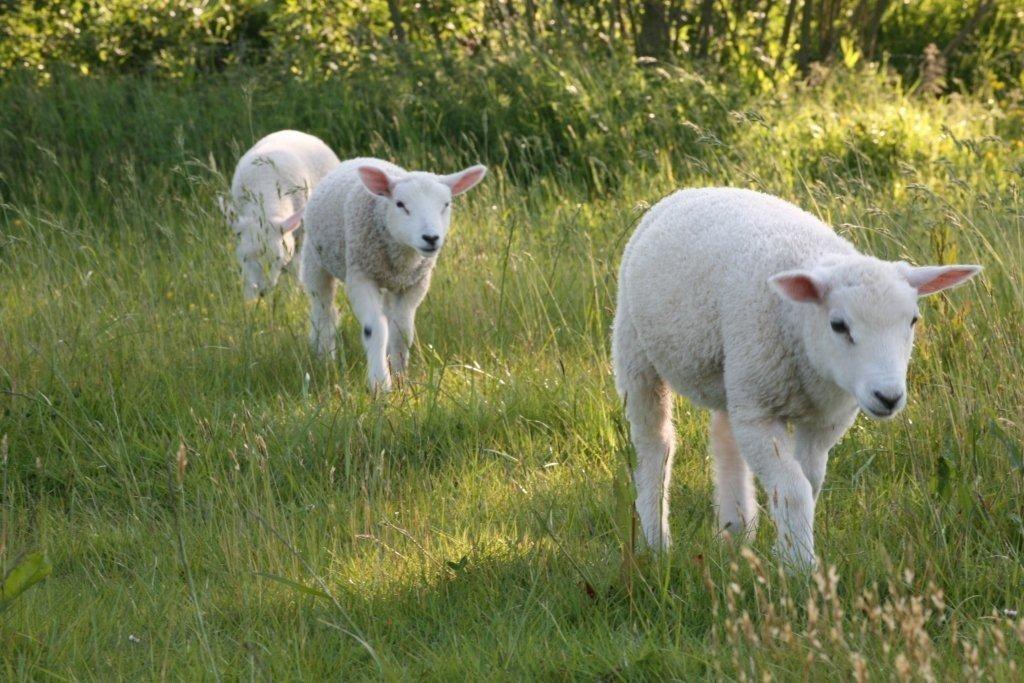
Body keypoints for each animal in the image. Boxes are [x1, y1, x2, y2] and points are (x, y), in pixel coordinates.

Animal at [220, 129, 339, 301]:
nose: (262, 292)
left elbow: (296, 267)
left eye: (277, 258)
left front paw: (293, 294)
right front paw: (249, 300)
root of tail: (295, 132)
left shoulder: (300, 236)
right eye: (244, 257)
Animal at [299, 156, 485, 389]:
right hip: (315, 261)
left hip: (389, 283)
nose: (431, 238)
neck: (402, 254)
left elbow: (402, 330)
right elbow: (375, 328)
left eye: (446, 204)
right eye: (400, 204)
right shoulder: (361, 275)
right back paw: (324, 358)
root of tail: (358, 159)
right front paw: (380, 382)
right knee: (323, 311)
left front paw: (400, 377)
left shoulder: (414, 283)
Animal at [610, 184, 978, 569]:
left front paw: (786, 551)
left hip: (735, 371)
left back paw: (735, 531)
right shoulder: (760, 411)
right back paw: (656, 541)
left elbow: (809, 482)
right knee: (655, 444)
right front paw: (802, 565)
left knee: (725, 438)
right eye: (839, 325)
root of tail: (699, 188)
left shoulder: (825, 420)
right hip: (636, 352)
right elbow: (792, 488)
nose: (888, 397)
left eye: (913, 321)